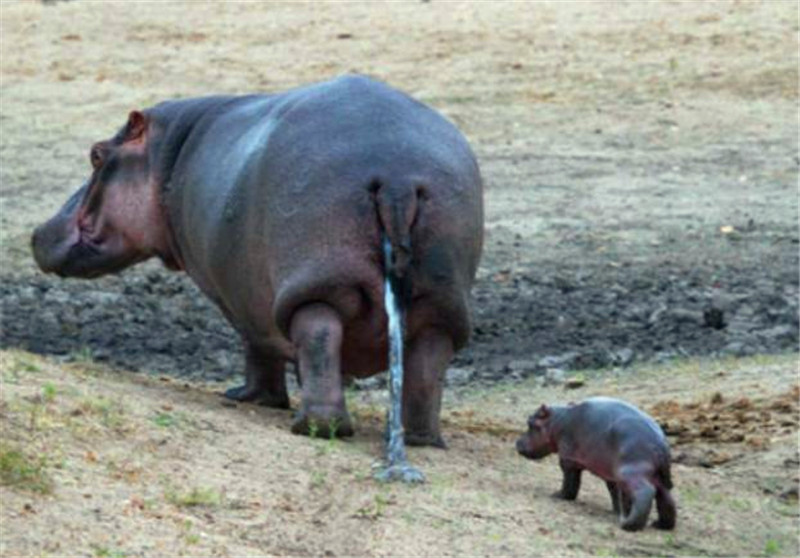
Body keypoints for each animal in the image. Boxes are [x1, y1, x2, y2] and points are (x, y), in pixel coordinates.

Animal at [31, 76, 484, 484]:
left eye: (96, 154)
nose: (37, 231)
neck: (166, 155)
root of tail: (396, 176)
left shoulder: (235, 296)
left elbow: (257, 346)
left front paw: (247, 397)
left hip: (316, 282)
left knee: (318, 336)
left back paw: (315, 426)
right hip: (440, 297)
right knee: (427, 361)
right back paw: (422, 437)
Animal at [520, 398, 676, 532]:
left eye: (530, 423)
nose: (517, 442)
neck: (558, 420)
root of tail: (660, 443)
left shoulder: (568, 459)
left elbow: (570, 483)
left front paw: (557, 495)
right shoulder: (610, 471)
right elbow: (613, 491)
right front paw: (616, 510)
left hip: (630, 473)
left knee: (646, 491)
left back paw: (627, 524)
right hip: (657, 478)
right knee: (666, 498)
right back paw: (659, 525)